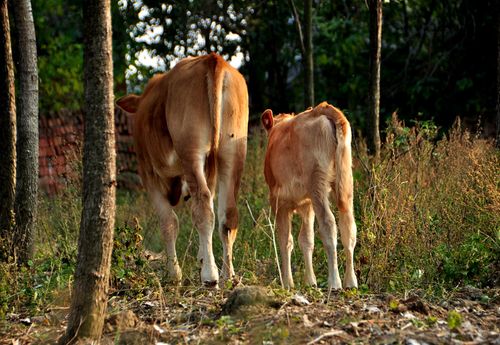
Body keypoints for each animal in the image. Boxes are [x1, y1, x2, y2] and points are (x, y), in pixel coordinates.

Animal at [115, 53, 248, 284]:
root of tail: (212, 59)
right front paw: (202, 257)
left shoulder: (148, 172)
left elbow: (169, 222)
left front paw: (173, 273)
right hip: (232, 150)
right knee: (228, 214)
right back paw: (227, 274)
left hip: (191, 151)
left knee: (203, 207)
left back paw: (210, 276)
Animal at [260, 101, 358, 288]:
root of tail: (321, 107)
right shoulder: (307, 204)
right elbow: (306, 240)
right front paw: (310, 281)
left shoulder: (278, 201)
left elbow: (286, 240)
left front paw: (287, 282)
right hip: (345, 180)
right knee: (348, 225)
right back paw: (350, 281)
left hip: (317, 182)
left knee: (328, 223)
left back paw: (334, 282)